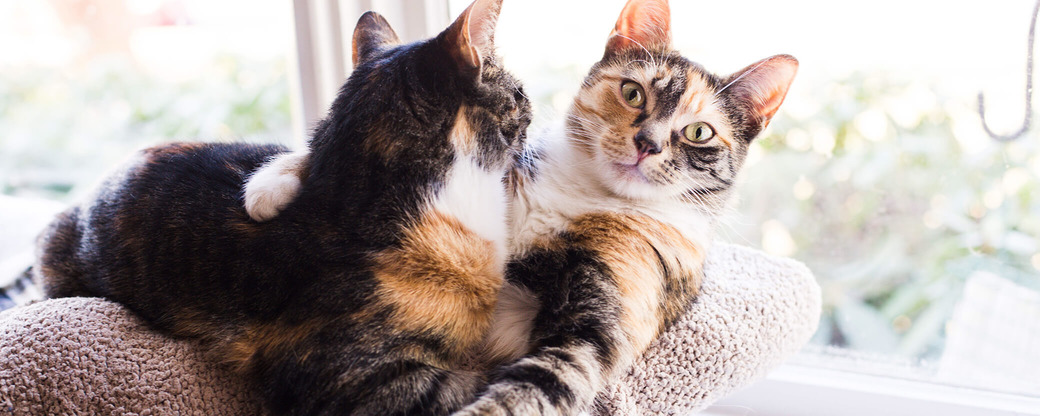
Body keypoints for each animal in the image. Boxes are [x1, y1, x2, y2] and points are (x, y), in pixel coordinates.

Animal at [241, 0, 794, 411]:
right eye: (633, 92)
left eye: (699, 133)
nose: (648, 143)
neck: (582, 194)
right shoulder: (495, 172)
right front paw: (271, 185)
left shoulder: (600, 327)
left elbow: (535, 387)